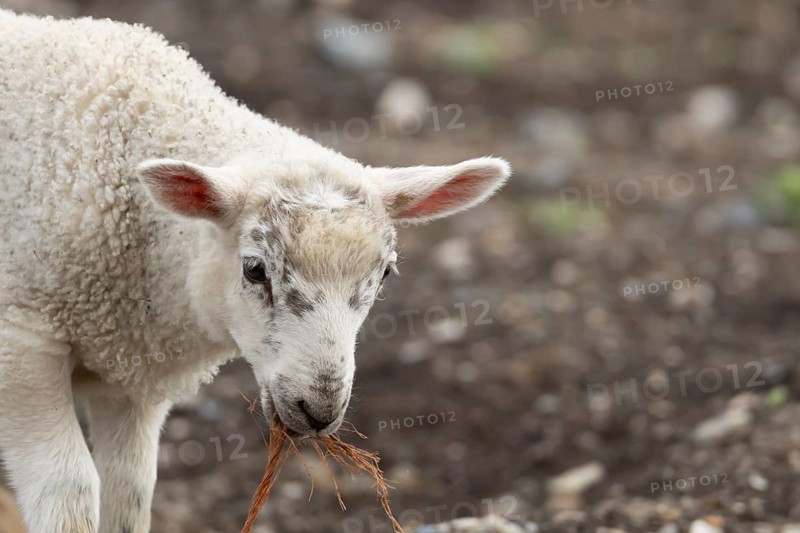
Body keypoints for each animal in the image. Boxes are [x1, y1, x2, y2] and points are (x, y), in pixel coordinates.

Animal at [0, 8, 511, 533]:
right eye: (254, 270)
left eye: (385, 274)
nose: (318, 409)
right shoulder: (23, 345)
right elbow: (68, 490)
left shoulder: (130, 373)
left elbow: (129, 492)